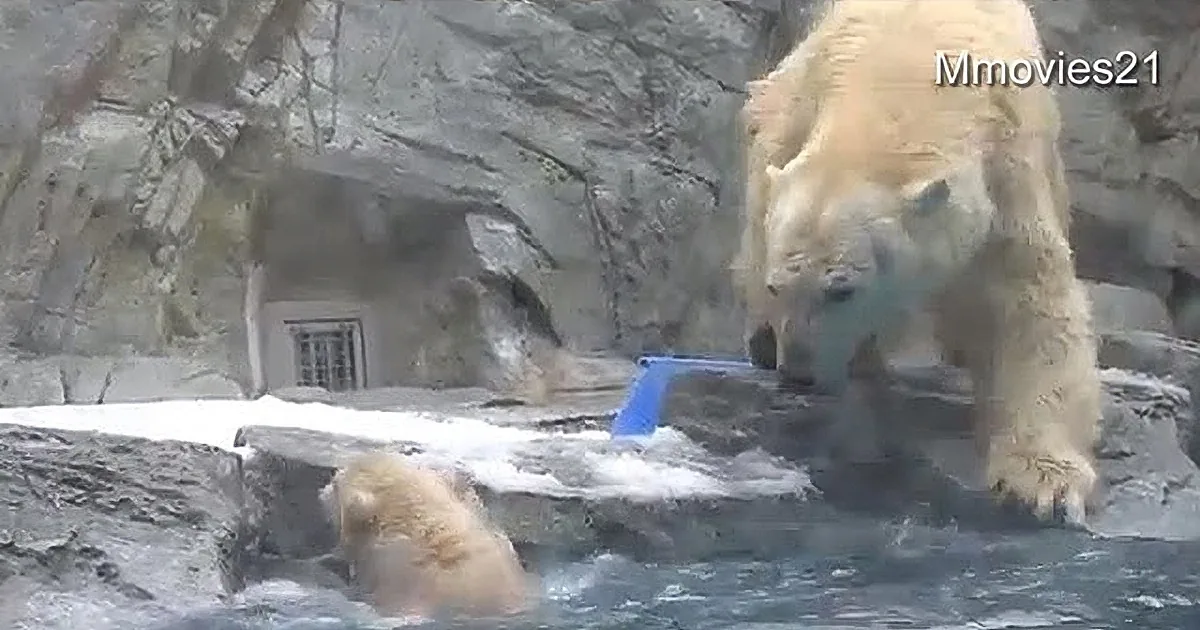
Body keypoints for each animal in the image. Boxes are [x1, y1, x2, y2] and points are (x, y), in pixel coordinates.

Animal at [731, 0, 1099, 525]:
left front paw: (1044, 483)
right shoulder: (795, 108)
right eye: (777, 286)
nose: (797, 374)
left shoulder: (1008, 164)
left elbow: (1029, 299)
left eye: (842, 290)